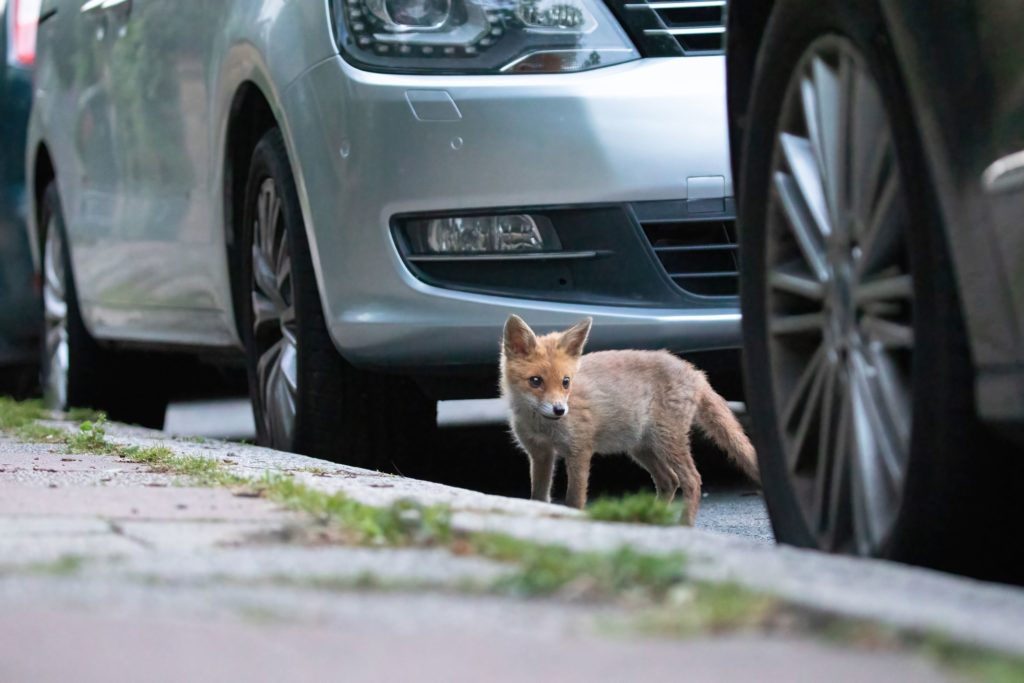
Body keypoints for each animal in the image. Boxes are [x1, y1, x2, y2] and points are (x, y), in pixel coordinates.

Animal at [499, 314, 759, 524]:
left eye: (565, 382)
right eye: (535, 381)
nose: (559, 410)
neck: (542, 425)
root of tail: (694, 371)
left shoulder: (579, 450)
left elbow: (574, 501)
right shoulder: (540, 453)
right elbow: (538, 497)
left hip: (666, 441)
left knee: (692, 479)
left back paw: (684, 525)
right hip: (642, 448)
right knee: (670, 481)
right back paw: (650, 518)